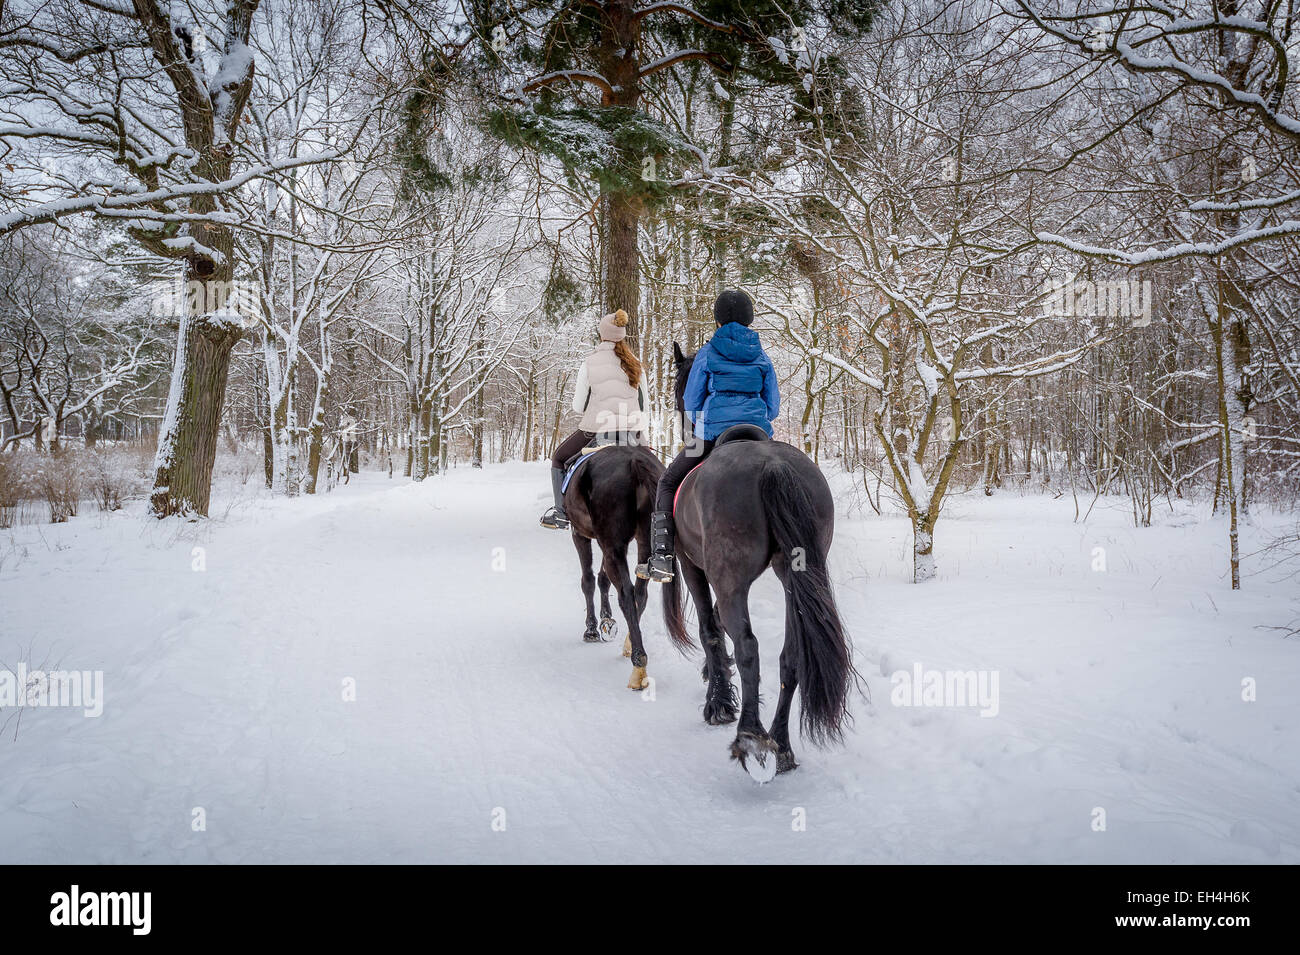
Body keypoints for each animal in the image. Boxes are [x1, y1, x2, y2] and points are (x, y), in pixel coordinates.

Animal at [566, 444, 691, 691]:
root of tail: (634, 462)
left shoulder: (581, 534)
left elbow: (589, 581)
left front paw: (592, 629)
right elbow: (603, 579)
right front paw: (606, 621)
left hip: (612, 543)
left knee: (626, 594)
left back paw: (638, 665)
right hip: (643, 541)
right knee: (640, 594)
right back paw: (630, 645)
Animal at [665, 348, 857, 779]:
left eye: (681, 387)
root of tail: (772, 466)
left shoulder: (692, 566)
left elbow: (710, 629)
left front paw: (718, 702)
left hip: (729, 578)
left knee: (748, 645)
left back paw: (750, 736)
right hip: (793, 575)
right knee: (792, 656)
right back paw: (781, 745)